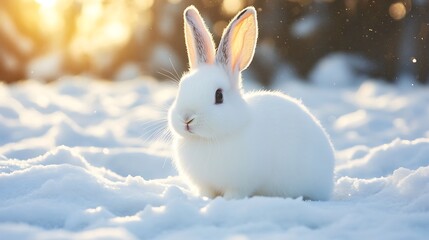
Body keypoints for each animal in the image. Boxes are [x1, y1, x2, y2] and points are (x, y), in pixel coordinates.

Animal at [167, 5, 334, 201]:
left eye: (219, 96)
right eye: (181, 87)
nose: (187, 118)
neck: (208, 140)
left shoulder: (239, 185)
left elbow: (234, 194)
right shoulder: (205, 186)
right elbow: (206, 193)